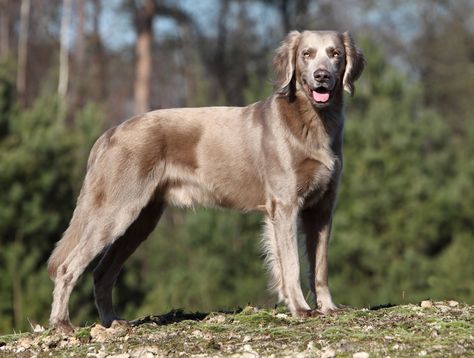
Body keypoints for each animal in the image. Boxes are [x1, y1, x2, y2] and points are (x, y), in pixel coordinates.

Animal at [48, 30, 364, 332]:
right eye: (306, 54)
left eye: (335, 54)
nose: (321, 76)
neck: (312, 122)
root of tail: (111, 132)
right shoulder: (285, 205)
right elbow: (291, 264)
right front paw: (299, 308)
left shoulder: (322, 208)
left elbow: (320, 266)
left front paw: (329, 307)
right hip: (116, 211)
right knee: (67, 266)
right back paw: (62, 323)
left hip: (141, 220)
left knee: (102, 273)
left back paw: (112, 321)